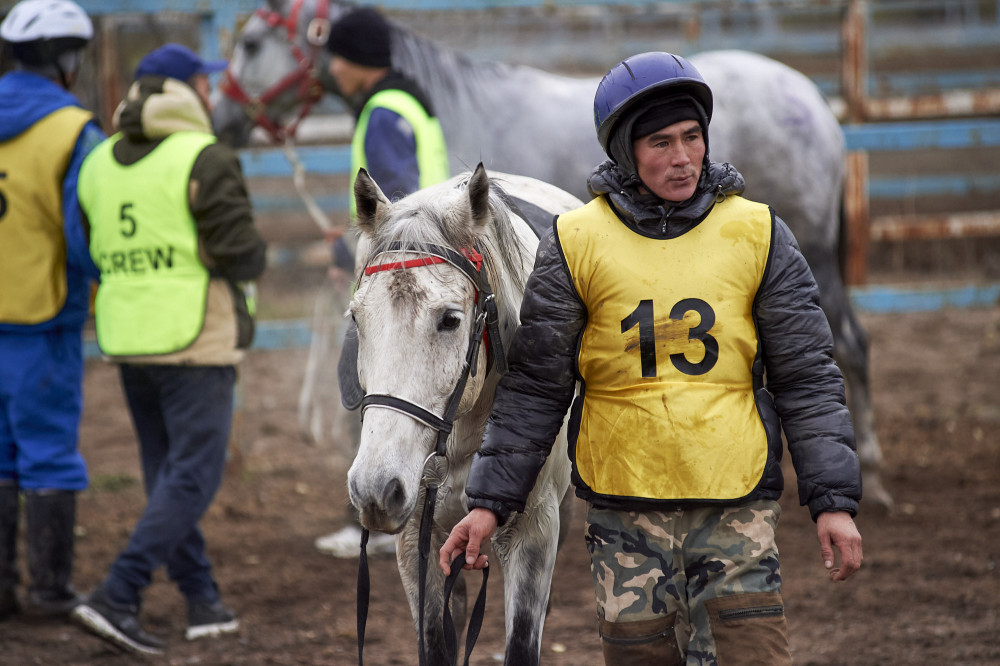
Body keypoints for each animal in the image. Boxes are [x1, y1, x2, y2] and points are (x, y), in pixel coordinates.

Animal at [209, 0, 892, 508]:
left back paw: (872, 471)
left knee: (853, 347)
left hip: (814, 258)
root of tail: (816, 105)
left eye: (251, 45)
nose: (223, 119)